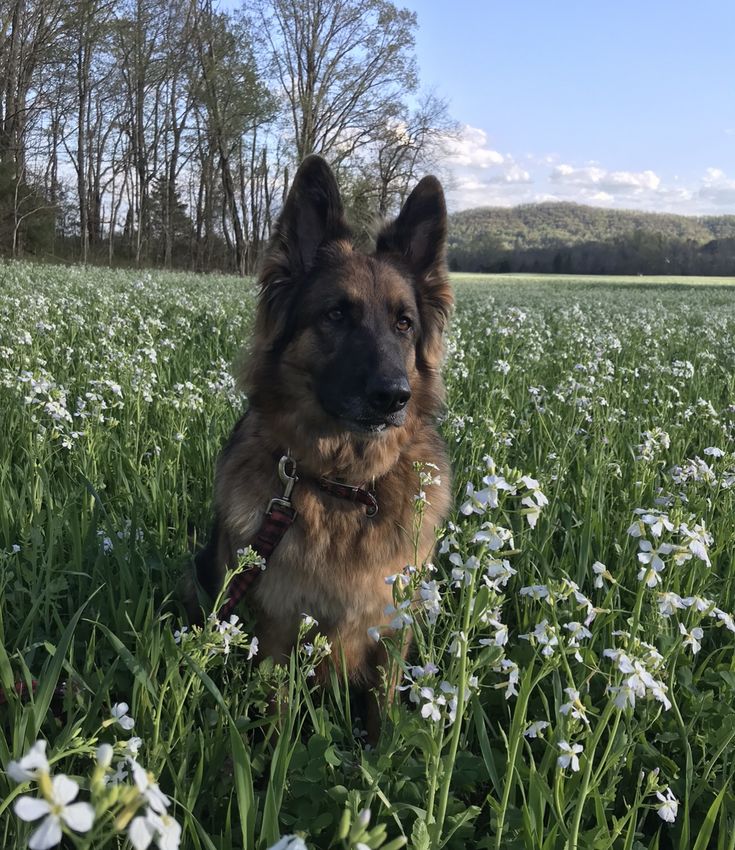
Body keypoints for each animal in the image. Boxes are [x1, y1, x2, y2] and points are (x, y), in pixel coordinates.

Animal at [190, 156, 454, 732]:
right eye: (336, 314)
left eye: (404, 323)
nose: (393, 397)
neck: (345, 486)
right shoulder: (278, 629)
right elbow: (280, 714)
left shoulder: (392, 627)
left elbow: (383, 714)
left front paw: (386, 752)